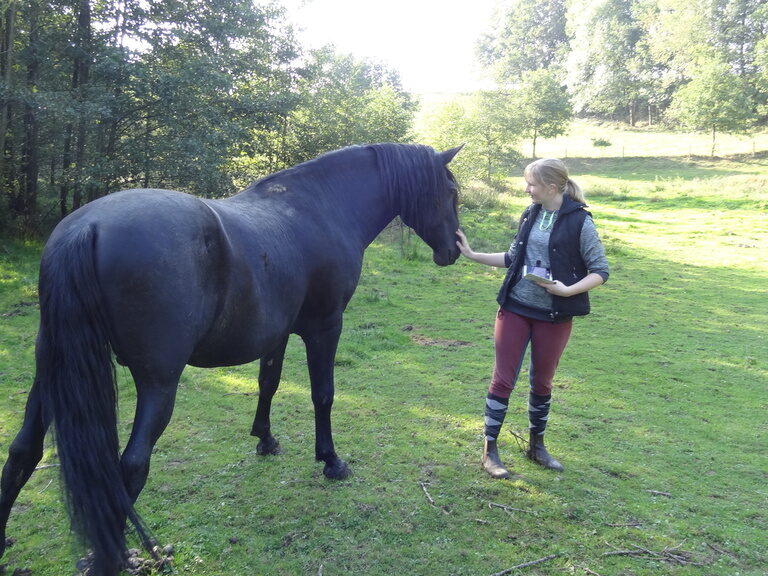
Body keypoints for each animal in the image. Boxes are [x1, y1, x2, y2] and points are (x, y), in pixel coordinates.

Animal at [0, 143, 462, 575]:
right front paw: (331, 461)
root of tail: (88, 227)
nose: (454, 250)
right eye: (451, 192)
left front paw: (265, 439)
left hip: (51, 372)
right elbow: (323, 394)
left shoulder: (277, 333)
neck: (322, 207)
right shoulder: (325, 328)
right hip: (158, 382)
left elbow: (269, 382)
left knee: (23, 450)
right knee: (130, 466)